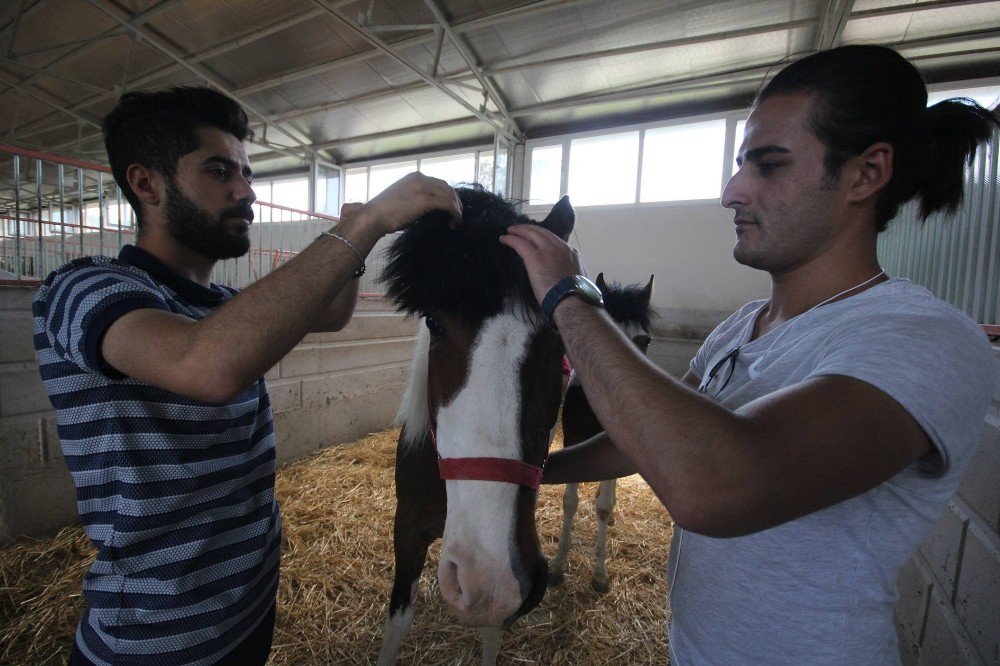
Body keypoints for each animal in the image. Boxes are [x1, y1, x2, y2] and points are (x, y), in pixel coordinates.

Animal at [376, 185, 576, 664]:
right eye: (434, 322)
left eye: (558, 336)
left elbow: (491, 631)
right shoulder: (406, 529)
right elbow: (397, 624)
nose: (488, 582)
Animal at [548, 272, 656, 592]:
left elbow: (604, 508)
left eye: (645, 339)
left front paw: (599, 574)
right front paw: (558, 566)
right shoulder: (572, 442)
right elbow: (569, 502)